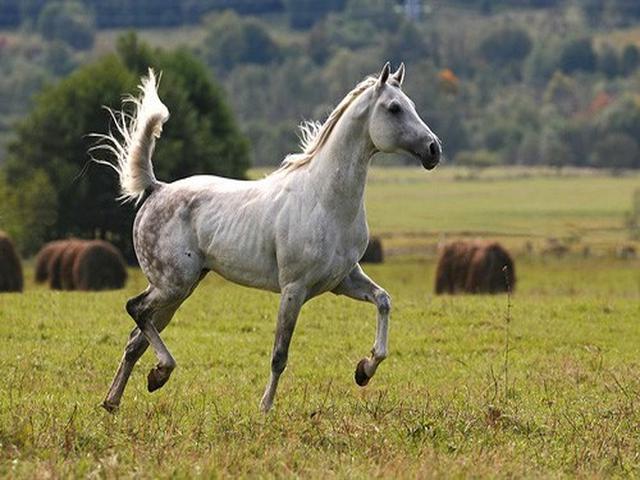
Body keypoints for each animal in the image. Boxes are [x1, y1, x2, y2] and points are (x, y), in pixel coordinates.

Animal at [95, 62, 441, 413]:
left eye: (411, 104)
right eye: (394, 108)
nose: (434, 149)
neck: (325, 200)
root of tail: (156, 188)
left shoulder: (344, 280)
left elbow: (384, 301)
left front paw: (364, 370)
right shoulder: (294, 289)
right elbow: (279, 354)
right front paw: (265, 408)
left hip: (178, 291)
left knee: (135, 339)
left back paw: (118, 398)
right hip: (172, 285)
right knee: (135, 309)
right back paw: (159, 373)